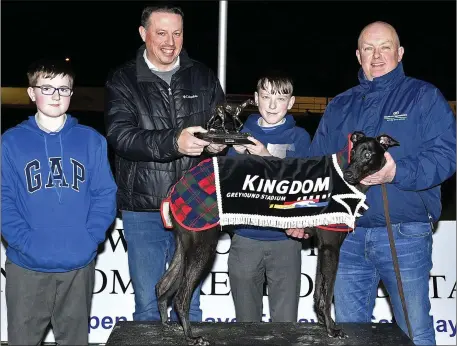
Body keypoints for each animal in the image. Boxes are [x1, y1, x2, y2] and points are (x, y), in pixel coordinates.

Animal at [155, 131, 398, 344]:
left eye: (368, 154)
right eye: (353, 152)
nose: (348, 175)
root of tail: (176, 188)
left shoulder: (323, 247)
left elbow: (319, 292)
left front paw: (322, 322)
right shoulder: (331, 246)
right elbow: (327, 294)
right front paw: (331, 328)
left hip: (185, 244)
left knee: (162, 285)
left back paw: (167, 326)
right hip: (203, 245)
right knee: (181, 297)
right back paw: (191, 336)